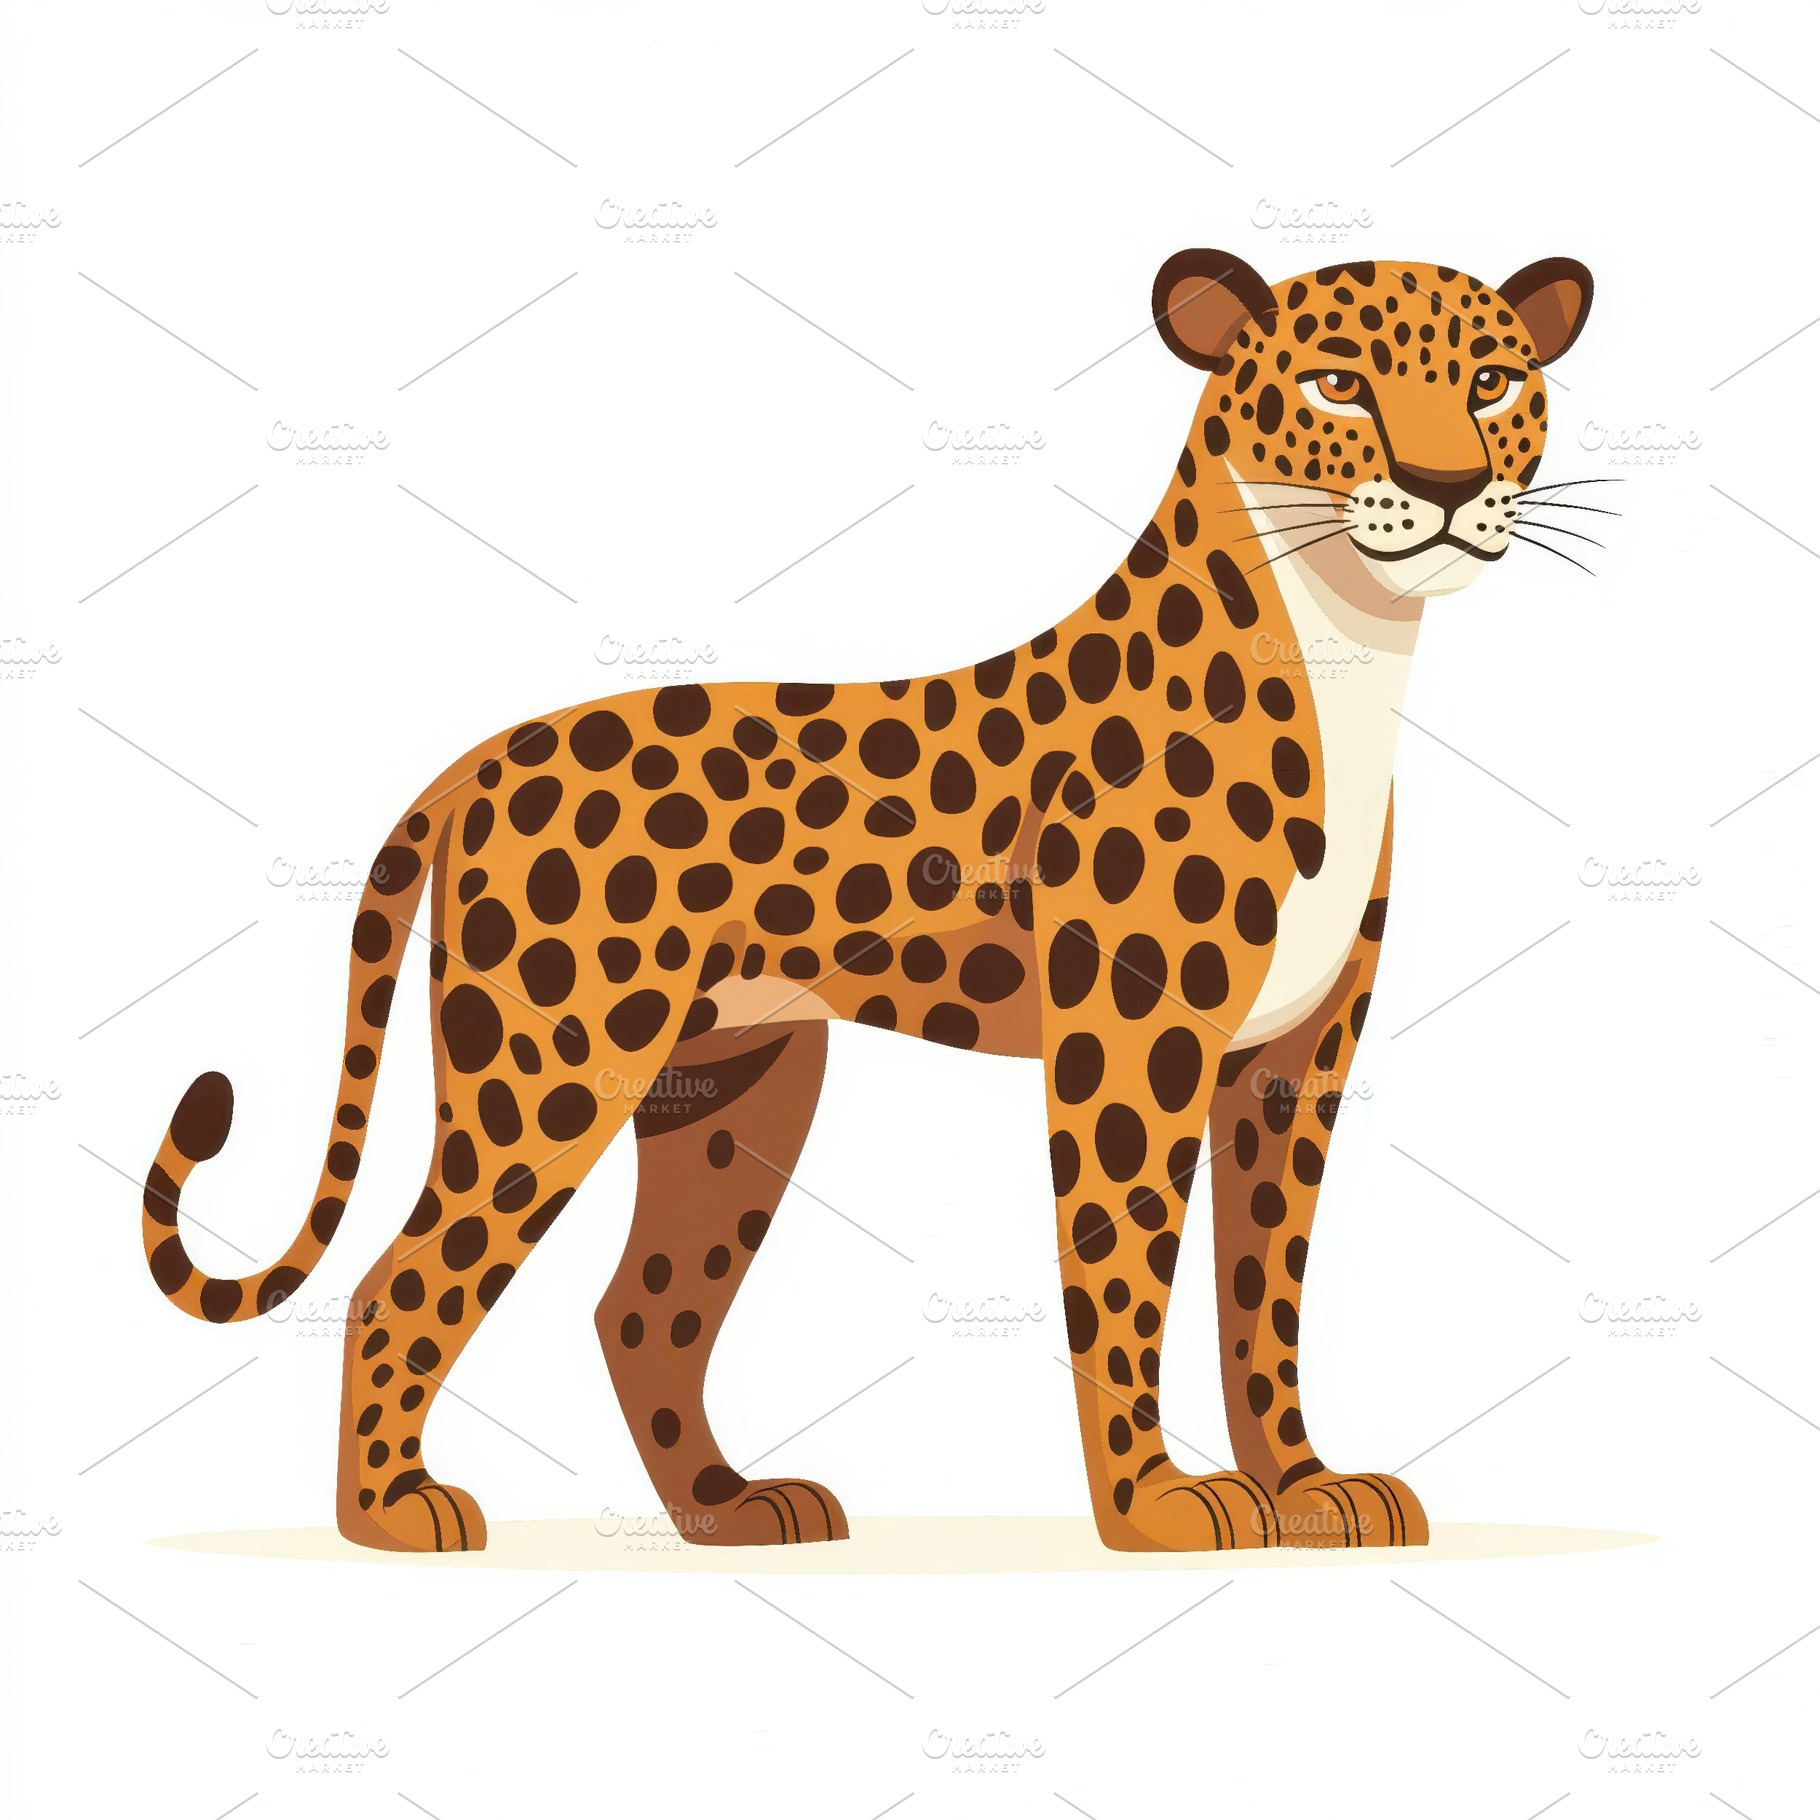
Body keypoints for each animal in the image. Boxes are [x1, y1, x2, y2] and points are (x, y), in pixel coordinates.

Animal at [140, 247, 1593, 1553]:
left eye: (1492, 378)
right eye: (1337, 382)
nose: (1450, 485)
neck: (1347, 653)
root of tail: (479, 755)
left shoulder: (1294, 1063)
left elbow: (1263, 1291)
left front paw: (1307, 1484)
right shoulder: (1133, 1051)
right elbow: (1122, 1276)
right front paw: (1158, 1507)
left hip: (738, 1082)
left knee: (644, 1306)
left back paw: (729, 1508)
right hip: (550, 1069)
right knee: (400, 1284)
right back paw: (394, 1513)